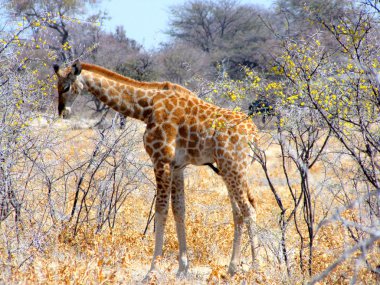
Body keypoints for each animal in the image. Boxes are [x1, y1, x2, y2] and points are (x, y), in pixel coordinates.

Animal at [53, 59, 260, 278]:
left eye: (66, 87)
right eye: (56, 85)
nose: (62, 112)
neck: (146, 107)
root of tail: (254, 135)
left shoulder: (161, 160)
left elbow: (160, 210)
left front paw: (152, 270)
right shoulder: (178, 166)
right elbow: (179, 210)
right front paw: (182, 268)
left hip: (233, 167)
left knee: (248, 210)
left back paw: (256, 267)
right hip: (229, 169)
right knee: (239, 211)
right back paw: (232, 268)